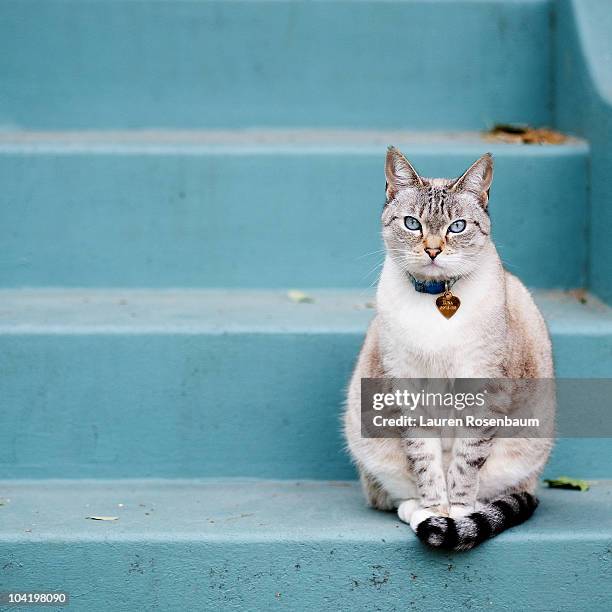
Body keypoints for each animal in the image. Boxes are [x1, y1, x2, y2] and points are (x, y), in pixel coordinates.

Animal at [344, 148, 556, 548]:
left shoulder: (484, 392)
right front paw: (435, 512)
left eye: (456, 227)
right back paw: (417, 512)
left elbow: (464, 465)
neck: (435, 297)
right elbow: (426, 465)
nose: (432, 250)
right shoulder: (407, 392)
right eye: (412, 224)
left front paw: (456, 516)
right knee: (391, 497)